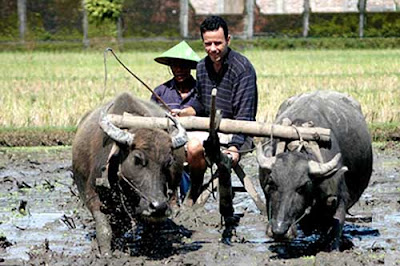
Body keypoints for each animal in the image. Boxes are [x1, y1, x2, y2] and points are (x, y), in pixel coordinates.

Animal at [72, 92, 188, 255]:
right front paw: (106, 253)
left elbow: (150, 227)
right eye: (137, 159)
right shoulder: (92, 194)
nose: (158, 206)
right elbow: (104, 227)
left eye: (169, 162)